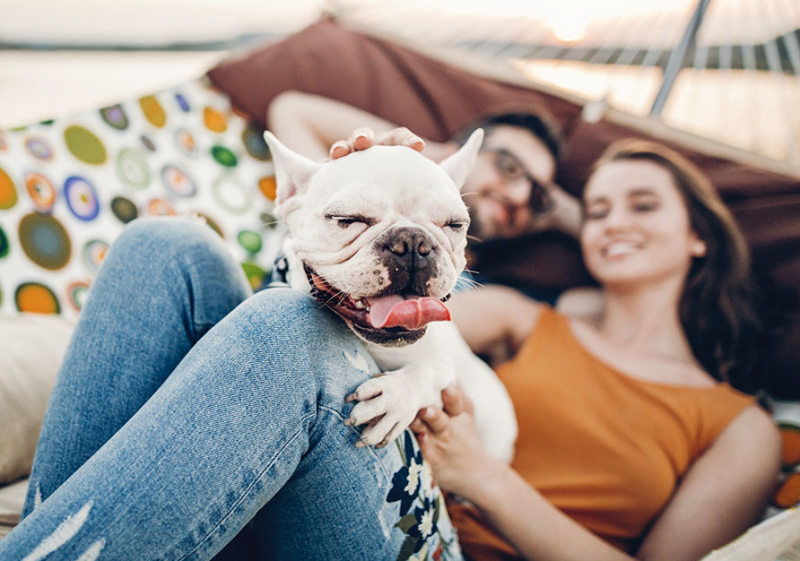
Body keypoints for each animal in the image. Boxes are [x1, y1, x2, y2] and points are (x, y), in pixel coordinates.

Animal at [262, 129, 520, 462]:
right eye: (347, 219)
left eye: (455, 224)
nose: (412, 242)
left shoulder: (448, 372)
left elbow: (431, 372)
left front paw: (396, 398)